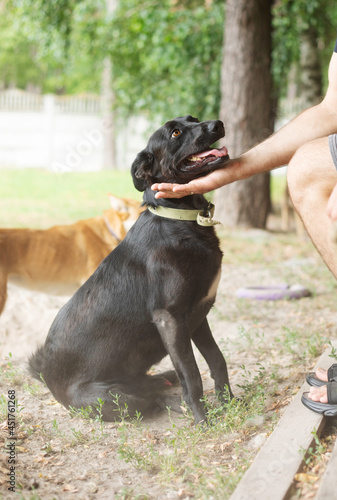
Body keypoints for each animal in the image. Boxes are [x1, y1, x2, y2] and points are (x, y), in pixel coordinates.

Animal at [28, 115, 232, 424]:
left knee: (155, 384)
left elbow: (217, 360)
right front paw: (202, 420)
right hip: (122, 399)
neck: (178, 219)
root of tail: (47, 377)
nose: (217, 124)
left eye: (193, 120)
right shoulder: (170, 319)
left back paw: (163, 379)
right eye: (175, 133)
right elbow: (192, 374)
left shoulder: (198, 314)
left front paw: (231, 403)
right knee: (150, 399)